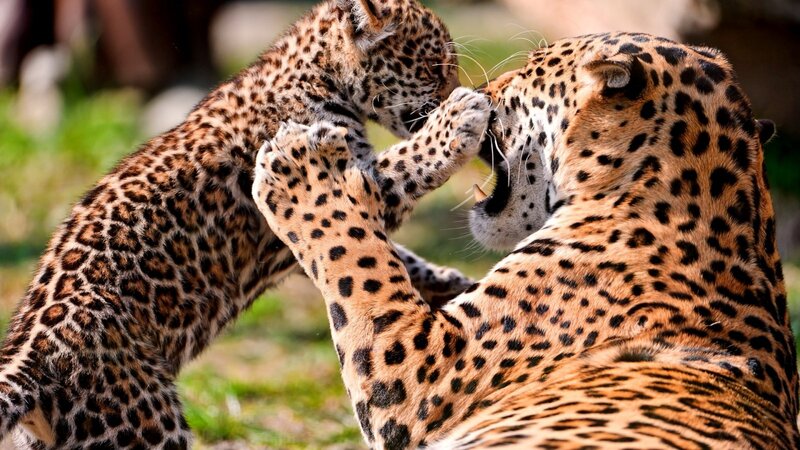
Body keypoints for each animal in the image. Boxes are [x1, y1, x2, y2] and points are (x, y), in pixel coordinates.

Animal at [0, 0, 493, 448]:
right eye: (435, 66)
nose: (470, 91)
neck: (315, 73)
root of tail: (28, 362)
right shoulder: (343, 180)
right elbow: (402, 167)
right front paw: (457, 121)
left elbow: (378, 254)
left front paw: (449, 283)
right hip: (143, 424)